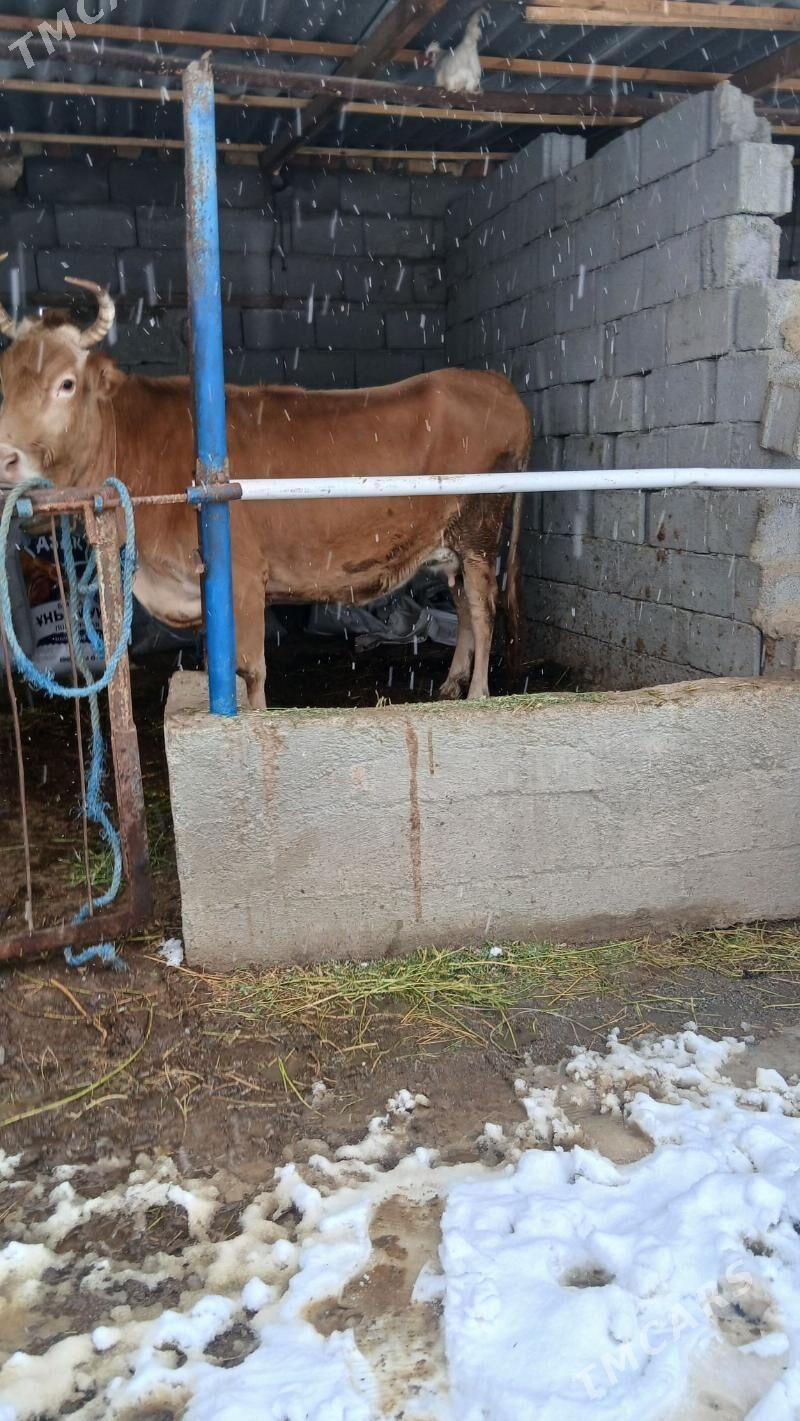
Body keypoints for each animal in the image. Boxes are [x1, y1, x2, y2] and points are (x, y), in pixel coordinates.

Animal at [0, 273, 532, 708]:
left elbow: (250, 670)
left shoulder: (242, 576)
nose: (6, 457)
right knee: (463, 607)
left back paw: (479, 695)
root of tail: (498, 386)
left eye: (66, 383)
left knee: (482, 610)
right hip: (451, 546)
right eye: (3, 386)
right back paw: (451, 685)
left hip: (480, 530)